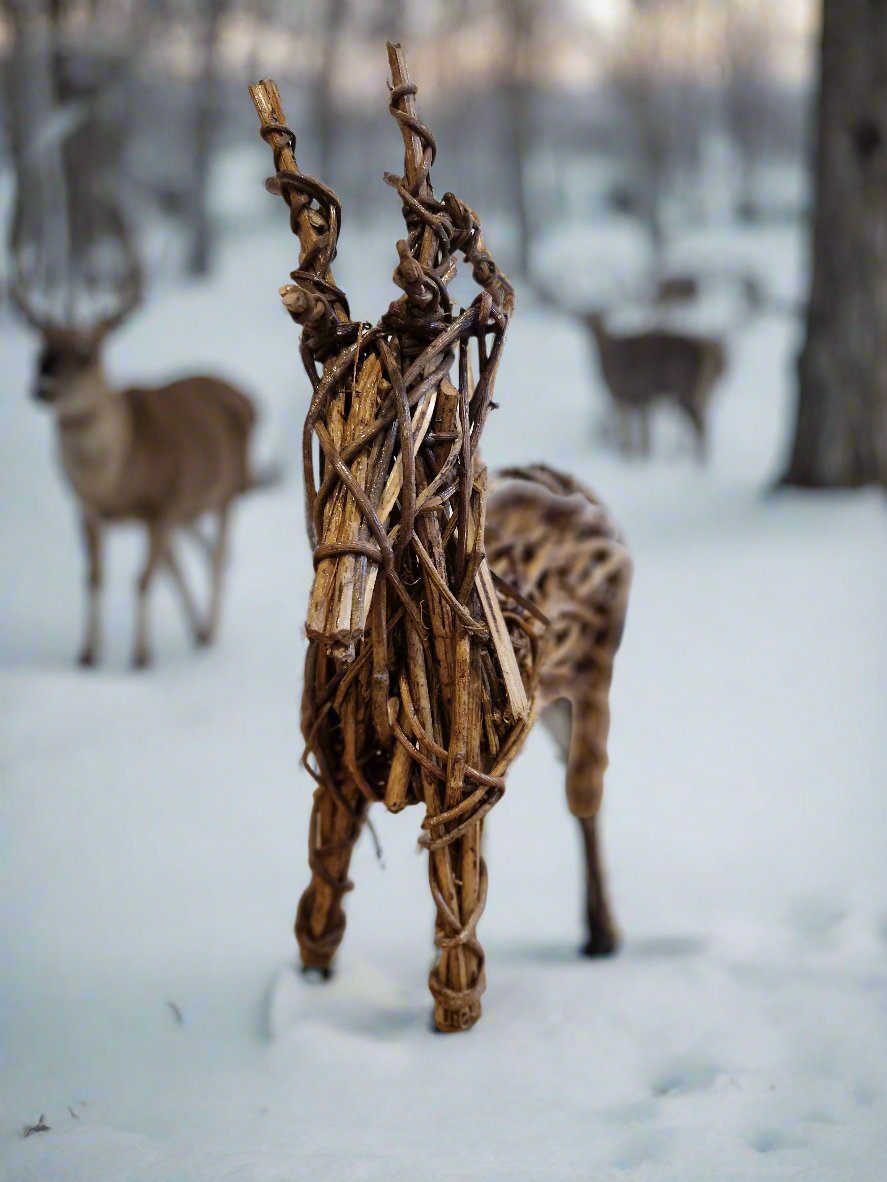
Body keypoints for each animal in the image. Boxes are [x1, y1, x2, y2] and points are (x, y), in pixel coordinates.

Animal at [13, 244, 262, 671]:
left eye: (87, 355)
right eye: (40, 355)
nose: (42, 388)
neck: (114, 482)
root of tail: (245, 397)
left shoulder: (161, 504)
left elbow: (142, 580)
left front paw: (141, 656)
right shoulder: (88, 509)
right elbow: (95, 578)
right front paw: (88, 655)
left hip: (226, 489)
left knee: (216, 554)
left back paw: (209, 631)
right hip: (187, 508)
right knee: (188, 555)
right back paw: (197, 629)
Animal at [253, 43, 633, 1035]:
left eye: (410, 427)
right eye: (322, 414)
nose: (329, 622)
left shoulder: (463, 788)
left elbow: (455, 929)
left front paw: (454, 1029)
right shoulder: (333, 778)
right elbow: (319, 911)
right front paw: (306, 999)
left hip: (596, 685)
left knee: (588, 797)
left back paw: (602, 936)